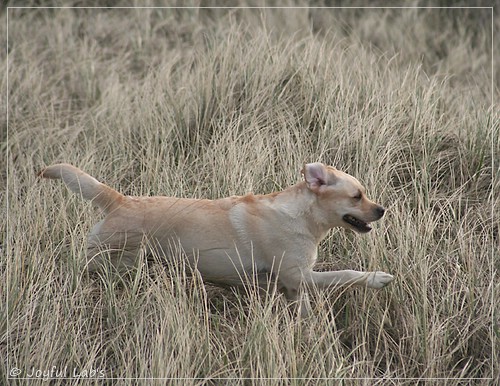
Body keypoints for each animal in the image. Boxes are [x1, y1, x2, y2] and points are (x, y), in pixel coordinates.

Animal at [40, 161, 394, 316]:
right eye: (357, 196)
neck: (302, 215)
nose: (382, 210)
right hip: (103, 261)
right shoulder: (299, 275)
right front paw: (377, 278)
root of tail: (119, 200)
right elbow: (346, 274)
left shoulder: (294, 287)